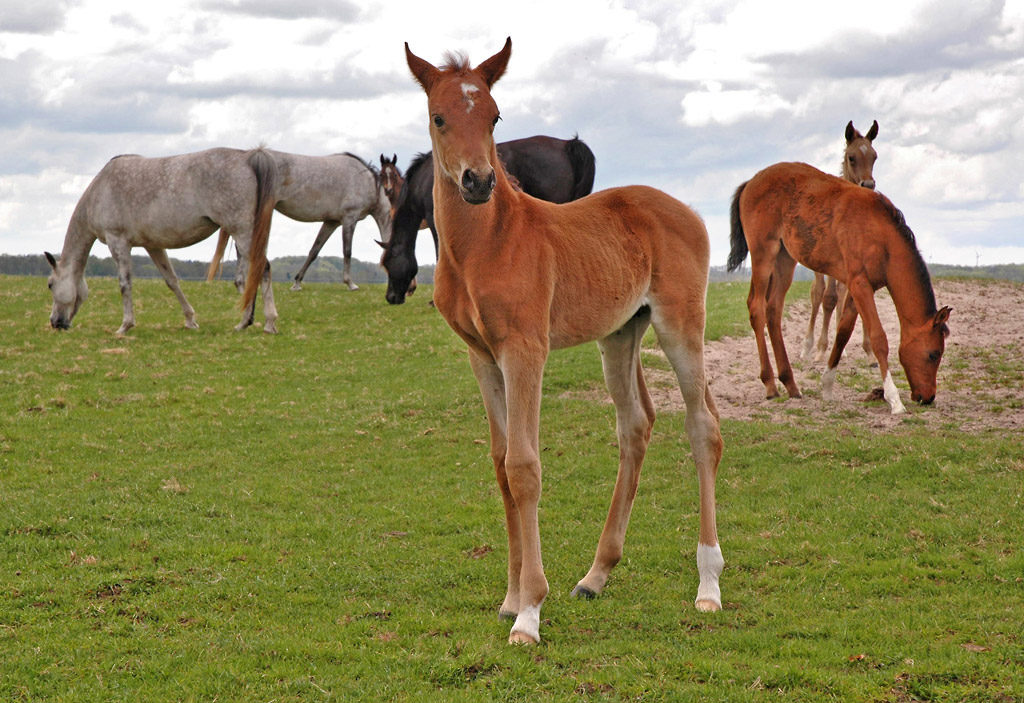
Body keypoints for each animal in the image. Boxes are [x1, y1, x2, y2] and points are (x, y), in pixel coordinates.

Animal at [387, 37, 724, 642]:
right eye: (439, 117)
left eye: (495, 117)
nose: (478, 181)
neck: (486, 244)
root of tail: (687, 210)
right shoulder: (482, 356)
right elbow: (501, 464)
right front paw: (510, 598)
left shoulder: (525, 351)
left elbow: (525, 467)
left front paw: (529, 613)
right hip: (621, 334)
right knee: (636, 425)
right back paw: (596, 575)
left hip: (680, 324)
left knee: (702, 426)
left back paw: (708, 584)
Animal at [729, 162, 950, 415]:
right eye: (934, 354)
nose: (928, 397)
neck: (881, 236)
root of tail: (751, 182)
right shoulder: (860, 284)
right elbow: (878, 338)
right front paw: (894, 400)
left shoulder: (860, 287)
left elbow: (844, 331)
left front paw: (826, 386)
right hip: (764, 254)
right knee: (756, 308)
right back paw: (770, 385)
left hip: (785, 259)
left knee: (773, 310)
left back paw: (790, 384)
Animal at [798, 120, 880, 362]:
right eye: (851, 157)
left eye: (874, 156)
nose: (868, 185)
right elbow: (828, 298)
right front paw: (821, 349)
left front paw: (868, 350)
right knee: (818, 293)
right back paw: (808, 347)